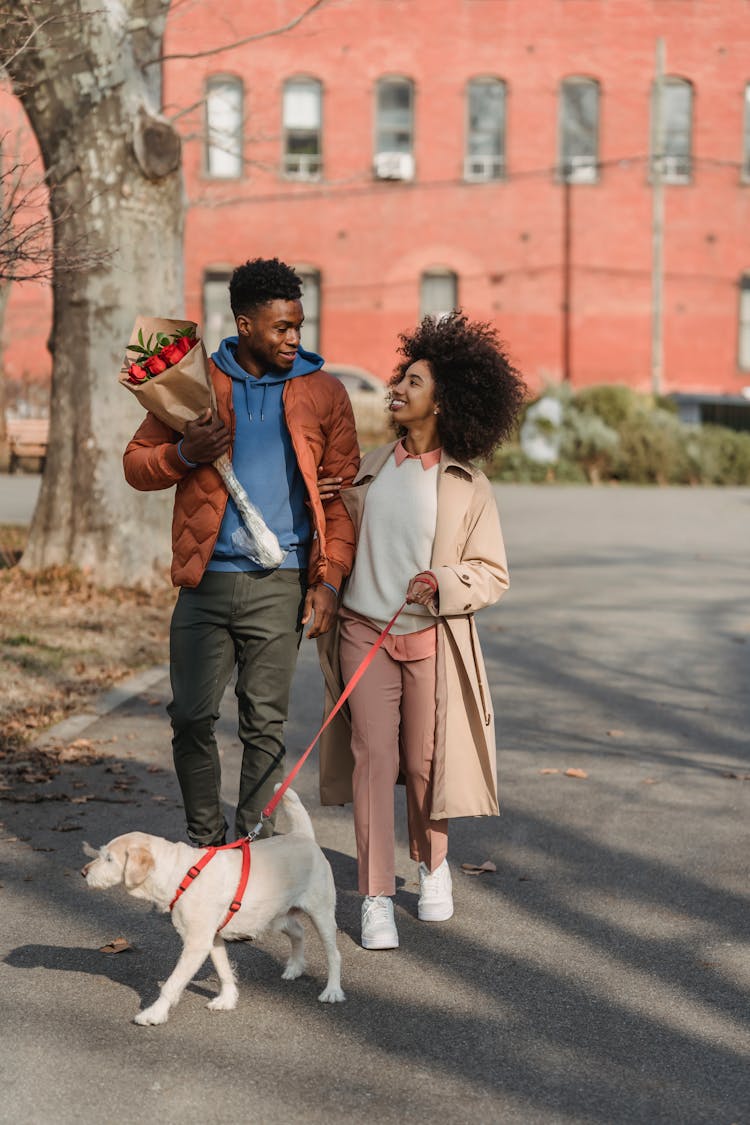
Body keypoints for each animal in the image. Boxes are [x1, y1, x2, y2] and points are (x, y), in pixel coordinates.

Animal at [80, 787, 344, 1026]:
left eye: (109, 859)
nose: (83, 873)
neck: (182, 873)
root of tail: (303, 836)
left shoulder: (196, 944)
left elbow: (172, 984)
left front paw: (154, 1014)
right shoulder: (212, 939)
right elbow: (224, 970)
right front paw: (227, 999)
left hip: (321, 915)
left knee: (334, 954)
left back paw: (332, 991)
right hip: (275, 916)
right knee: (298, 931)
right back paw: (295, 967)